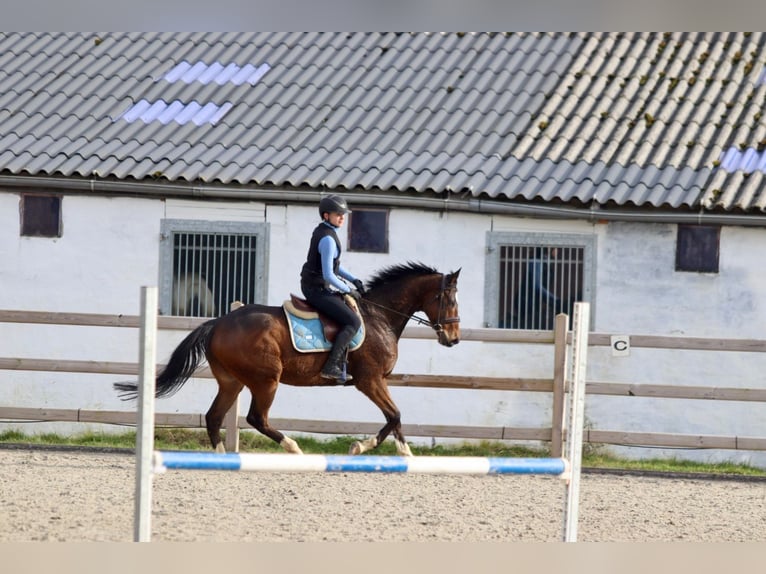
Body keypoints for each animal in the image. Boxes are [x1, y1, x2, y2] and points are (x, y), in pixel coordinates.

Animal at [117, 264, 460, 456]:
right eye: (448, 299)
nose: (453, 338)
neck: (380, 316)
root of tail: (218, 323)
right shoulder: (369, 380)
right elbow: (395, 414)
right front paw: (367, 447)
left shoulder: (375, 382)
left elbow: (394, 418)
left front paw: (403, 452)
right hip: (266, 380)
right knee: (257, 418)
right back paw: (293, 447)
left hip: (231, 382)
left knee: (214, 417)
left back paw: (221, 456)